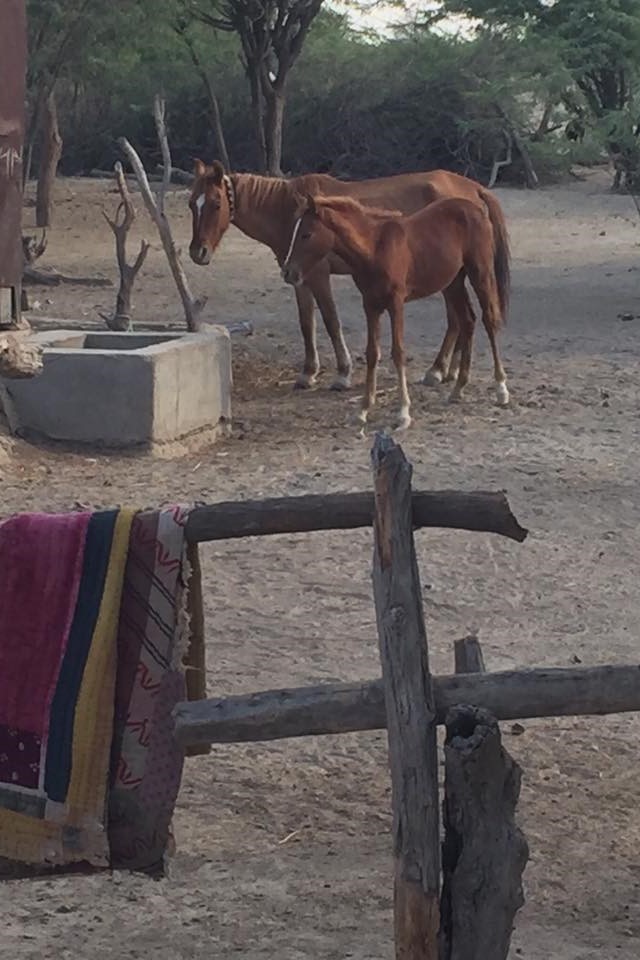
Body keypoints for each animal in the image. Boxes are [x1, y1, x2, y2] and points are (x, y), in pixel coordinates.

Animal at [186, 161, 510, 390]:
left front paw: (342, 373)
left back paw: (439, 370)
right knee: (460, 319)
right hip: (452, 275)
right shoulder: (298, 277)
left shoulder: (318, 274)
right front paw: (308, 373)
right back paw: (447, 370)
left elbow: (331, 320)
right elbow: (307, 322)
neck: (289, 210)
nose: (197, 252)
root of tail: (473, 188)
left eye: (215, 203)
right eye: (191, 203)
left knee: (457, 318)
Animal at [282, 193, 508, 430]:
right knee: (468, 321)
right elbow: (372, 353)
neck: (375, 249)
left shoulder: (396, 303)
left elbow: (398, 352)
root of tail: (476, 207)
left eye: (306, 234)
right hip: (453, 281)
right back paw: (458, 389)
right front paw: (363, 410)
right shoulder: (370, 305)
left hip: (480, 273)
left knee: (489, 320)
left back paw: (501, 389)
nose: (288, 272)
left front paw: (403, 413)